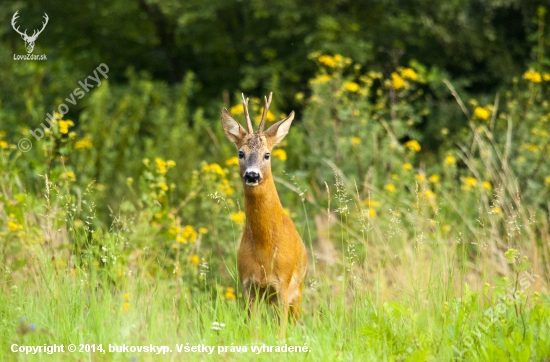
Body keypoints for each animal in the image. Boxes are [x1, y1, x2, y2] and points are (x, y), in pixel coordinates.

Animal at [221, 92, 308, 336]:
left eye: (267, 154)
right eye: (241, 153)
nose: (252, 175)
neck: (264, 249)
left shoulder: (282, 285)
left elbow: (281, 334)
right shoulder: (248, 286)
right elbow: (253, 331)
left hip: (298, 290)